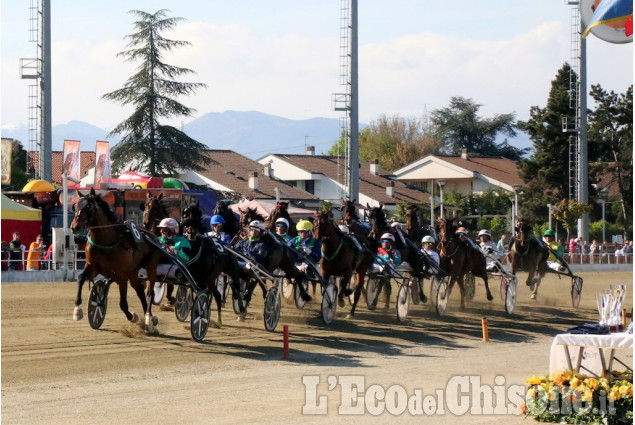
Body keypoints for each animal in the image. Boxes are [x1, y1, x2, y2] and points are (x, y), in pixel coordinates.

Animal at [71, 187, 165, 330]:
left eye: (88, 207)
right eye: (75, 206)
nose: (74, 227)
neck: (106, 241)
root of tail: (151, 235)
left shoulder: (121, 275)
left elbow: (123, 304)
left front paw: (133, 316)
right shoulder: (92, 266)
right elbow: (81, 278)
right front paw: (78, 311)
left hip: (151, 266)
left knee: (149, 293)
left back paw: (148, 319)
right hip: (133, 272)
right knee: (139, 290)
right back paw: (150, 317)